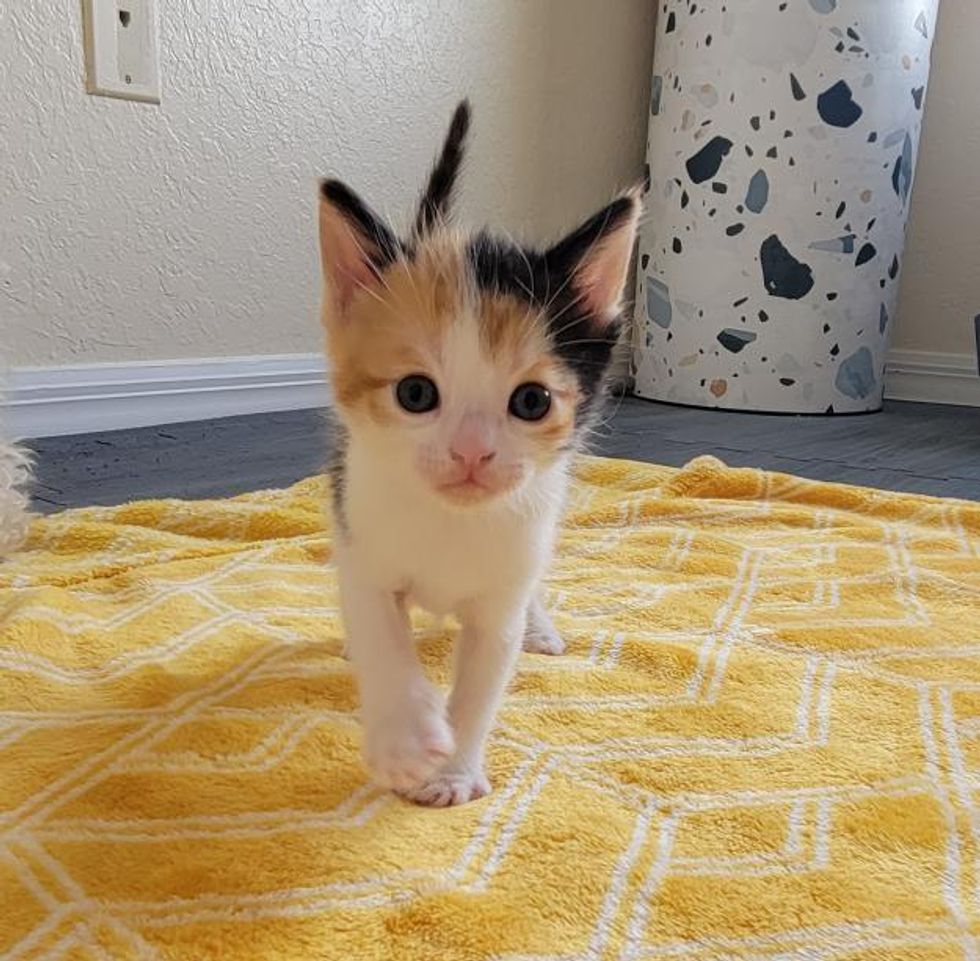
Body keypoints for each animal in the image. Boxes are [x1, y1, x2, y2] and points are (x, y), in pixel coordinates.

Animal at [316, 101, 644, 808]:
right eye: (415, 393)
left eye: (531, 402)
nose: (472, 453)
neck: (454, 522)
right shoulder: (359, 533)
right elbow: (384, 634)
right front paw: (403, 738)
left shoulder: (506, 580)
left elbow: (486, 674)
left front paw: (453, 772)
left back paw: (539, 626)